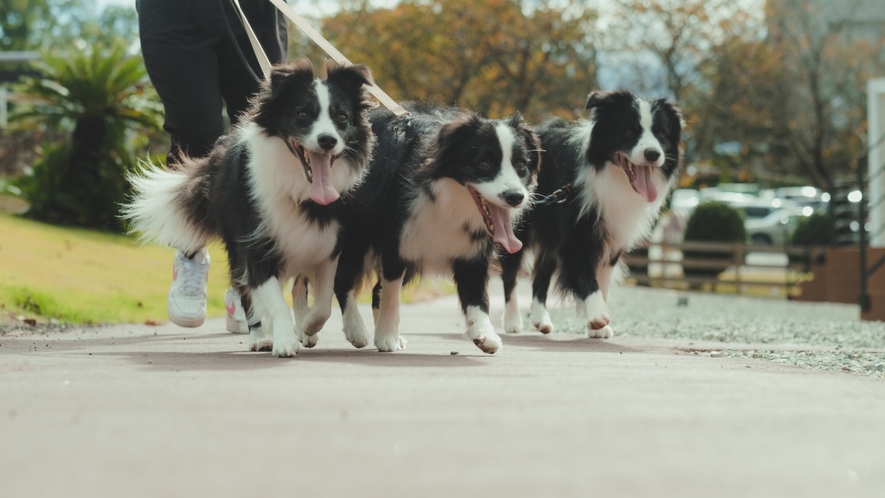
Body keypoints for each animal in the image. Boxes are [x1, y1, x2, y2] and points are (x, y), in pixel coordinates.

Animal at [328, 104, 540, 354]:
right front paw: (387, 337)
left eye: (521, 165)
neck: (448, 200)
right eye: (484, 164)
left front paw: (484, 334)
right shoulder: (396, 240)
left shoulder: (473, 248)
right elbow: (392, 294)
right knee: (343, 278)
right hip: (357, 232)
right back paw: (356, 330)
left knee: (374, 289)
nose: (515, 197)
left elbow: (478, 293)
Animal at [498, 89, 684, 338]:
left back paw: (541, 320)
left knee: (541, 276)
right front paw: (597, 316)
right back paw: (512, 321)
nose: (653, 154)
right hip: (520, 226)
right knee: (510, 273)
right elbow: (588, 277)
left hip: (550, 236)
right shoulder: (578, 236)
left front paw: (599, 328)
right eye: (628, 131)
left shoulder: (612, 238)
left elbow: (602, 282)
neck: (613, 176)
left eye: (661, 133)